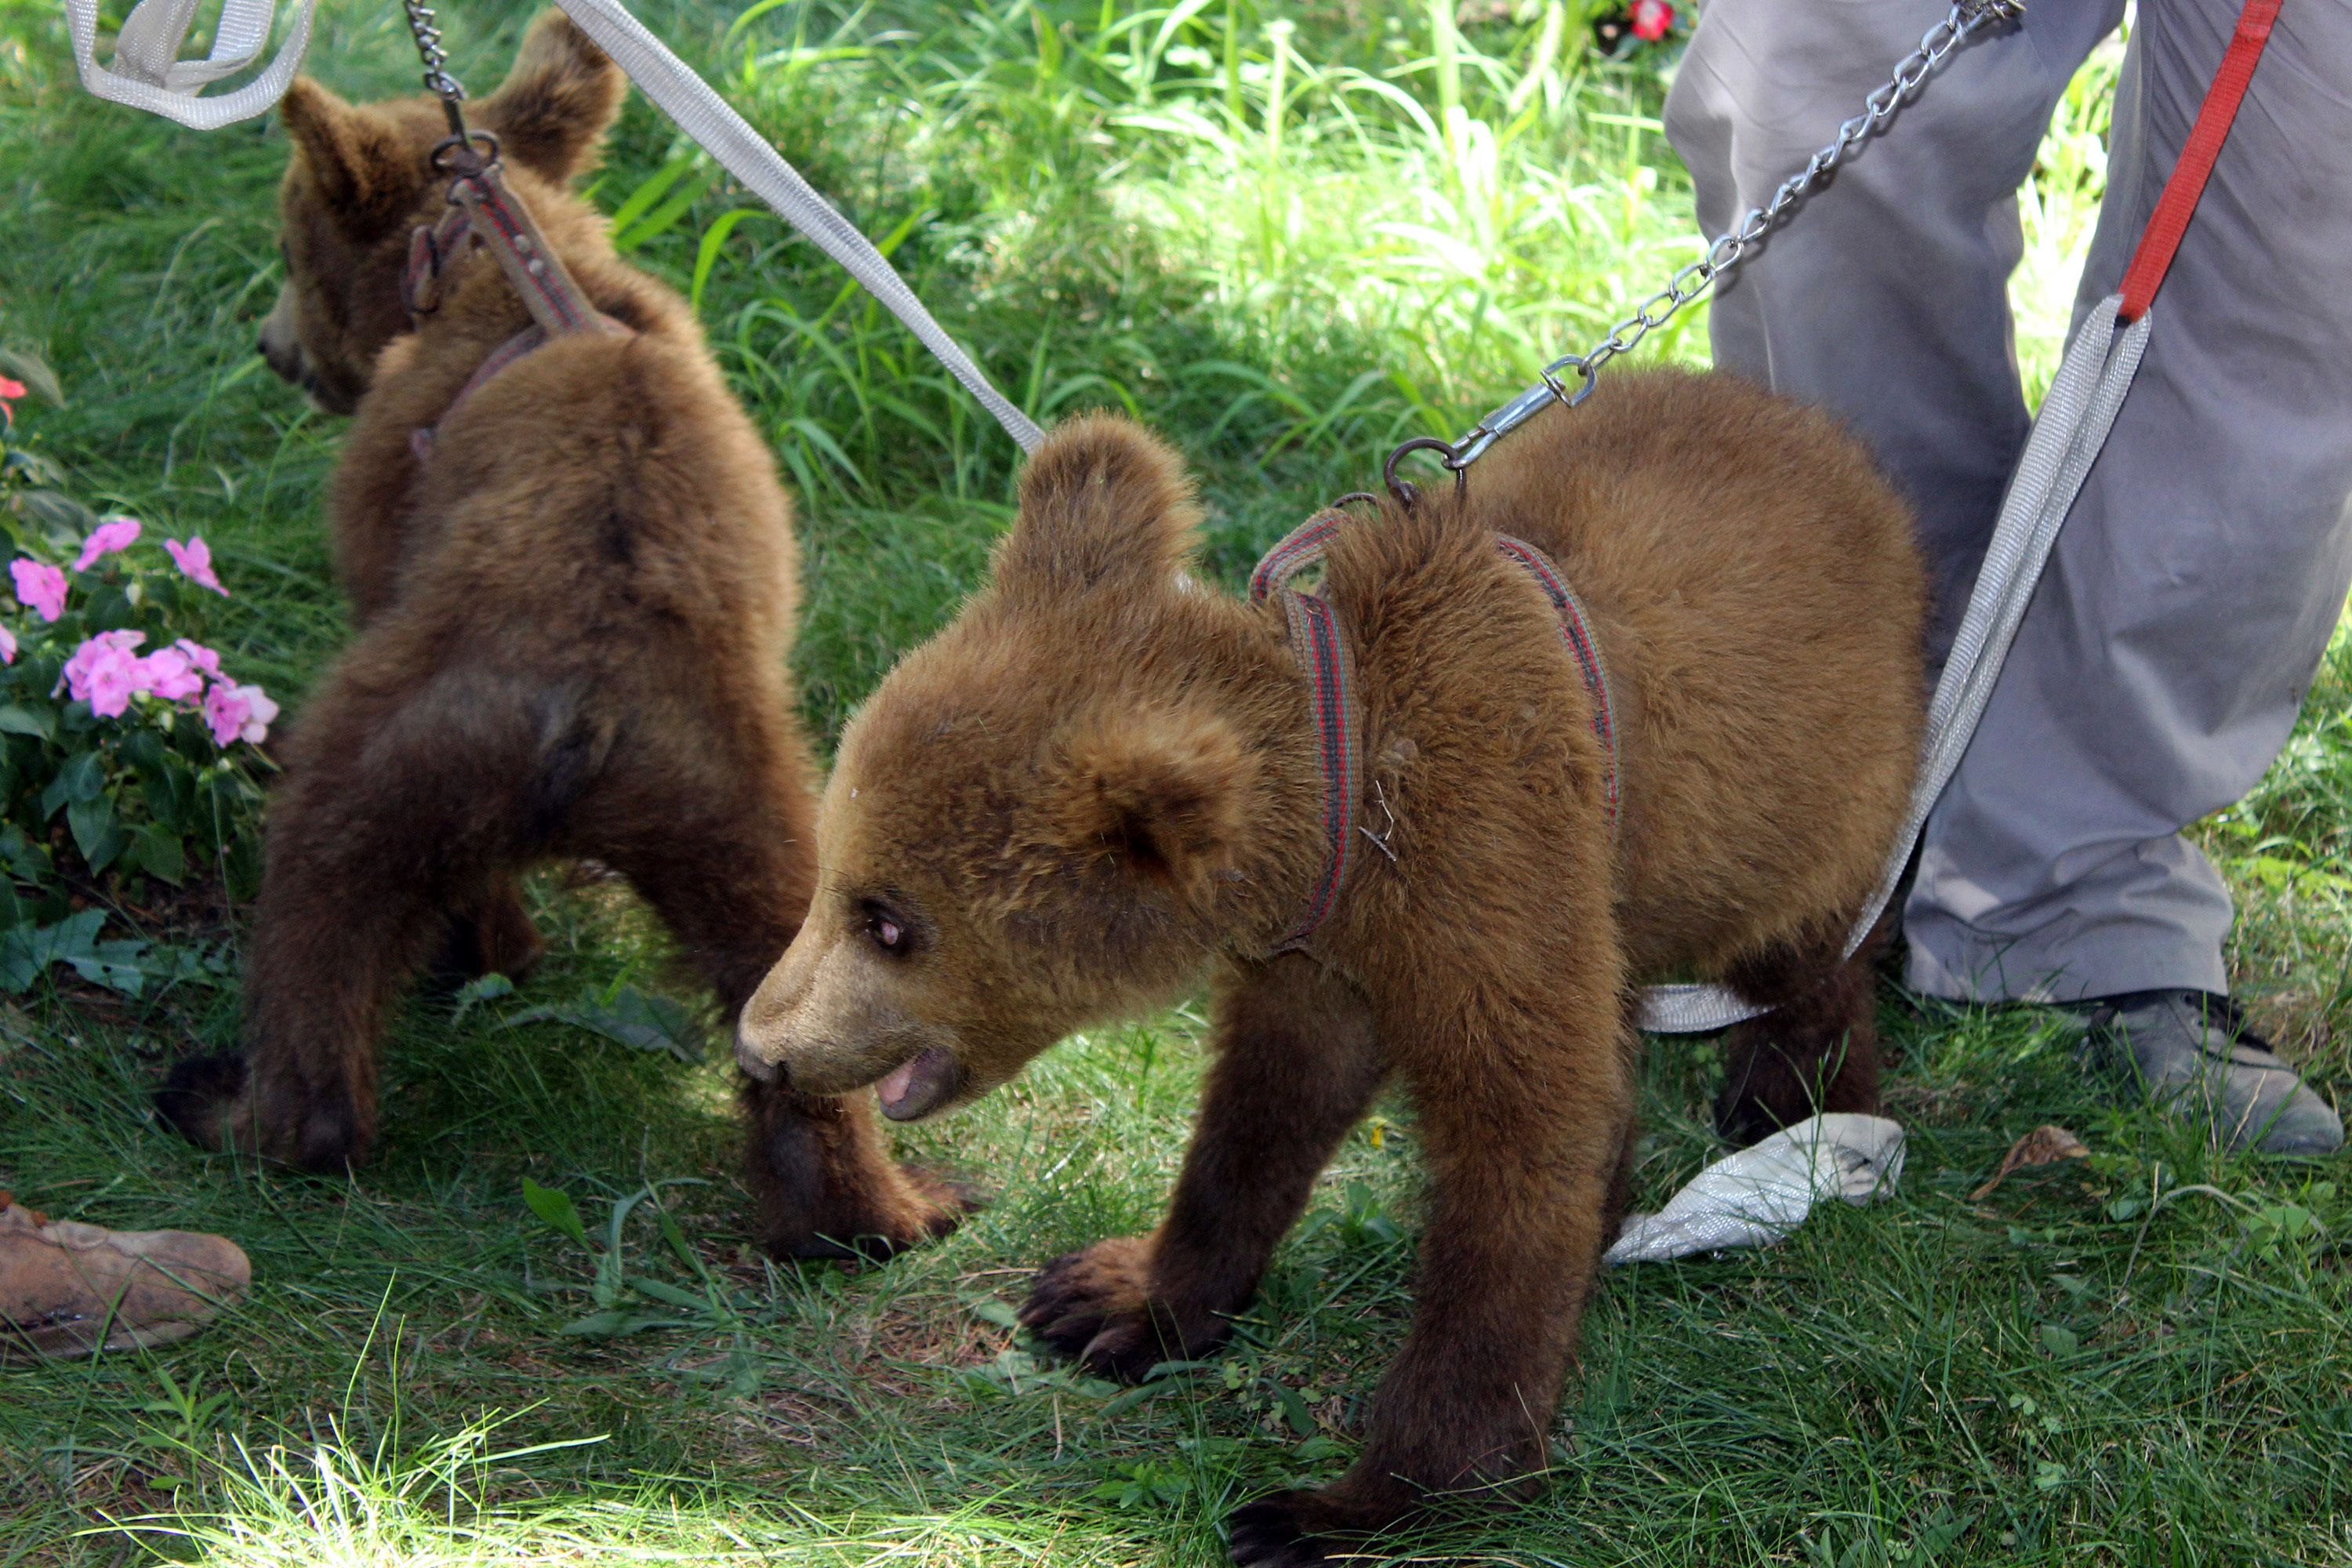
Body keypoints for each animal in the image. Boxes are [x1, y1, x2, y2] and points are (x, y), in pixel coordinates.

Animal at [157, 12, 968, 1261]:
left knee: (324, 918)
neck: (497, 264)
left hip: (394, 755)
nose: (268, 345)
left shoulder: (380, 515)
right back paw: (875, 1211)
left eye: (289, 247)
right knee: (795, 1016)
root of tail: (591, 699)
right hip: (761, 831)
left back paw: (246, 1108)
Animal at [730, 374, 1926, 1564]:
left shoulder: (1490, 871)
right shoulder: (1322, 957)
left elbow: (1528, 1147)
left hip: (1799, 777)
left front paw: (1353, 1502)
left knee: (1805, 940)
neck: (1347, 821)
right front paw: (1116, 1299)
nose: (761, 1044)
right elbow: (1264, 1113)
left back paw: (1793, 1093)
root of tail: (1822, 433)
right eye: (835, 866)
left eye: (890, 922)